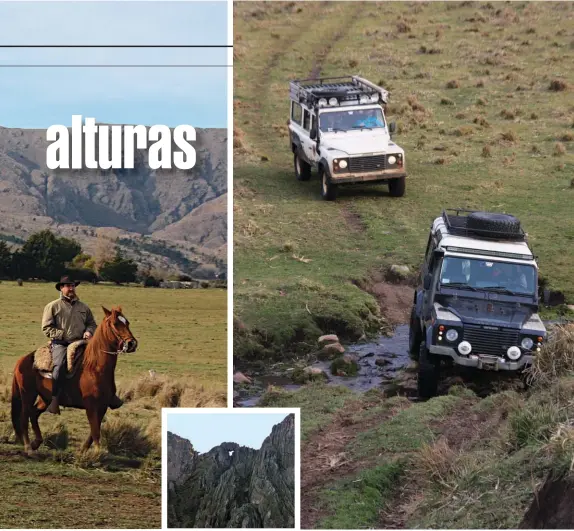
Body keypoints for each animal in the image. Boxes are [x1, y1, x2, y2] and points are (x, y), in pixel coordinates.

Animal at [11, 308, 138, 454]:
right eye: (115, 323)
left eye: (127, 322)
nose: (132, 344)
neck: (94, 367)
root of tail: (22, 360)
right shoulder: (91, 405)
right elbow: (95, 431)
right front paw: (97, 454)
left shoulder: (103, 406)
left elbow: (94, 431)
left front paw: (83, 450)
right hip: (27, 394)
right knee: (24, 417)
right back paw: (28, 448)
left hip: (45, 398)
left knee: (33, 413)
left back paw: (36, 443)